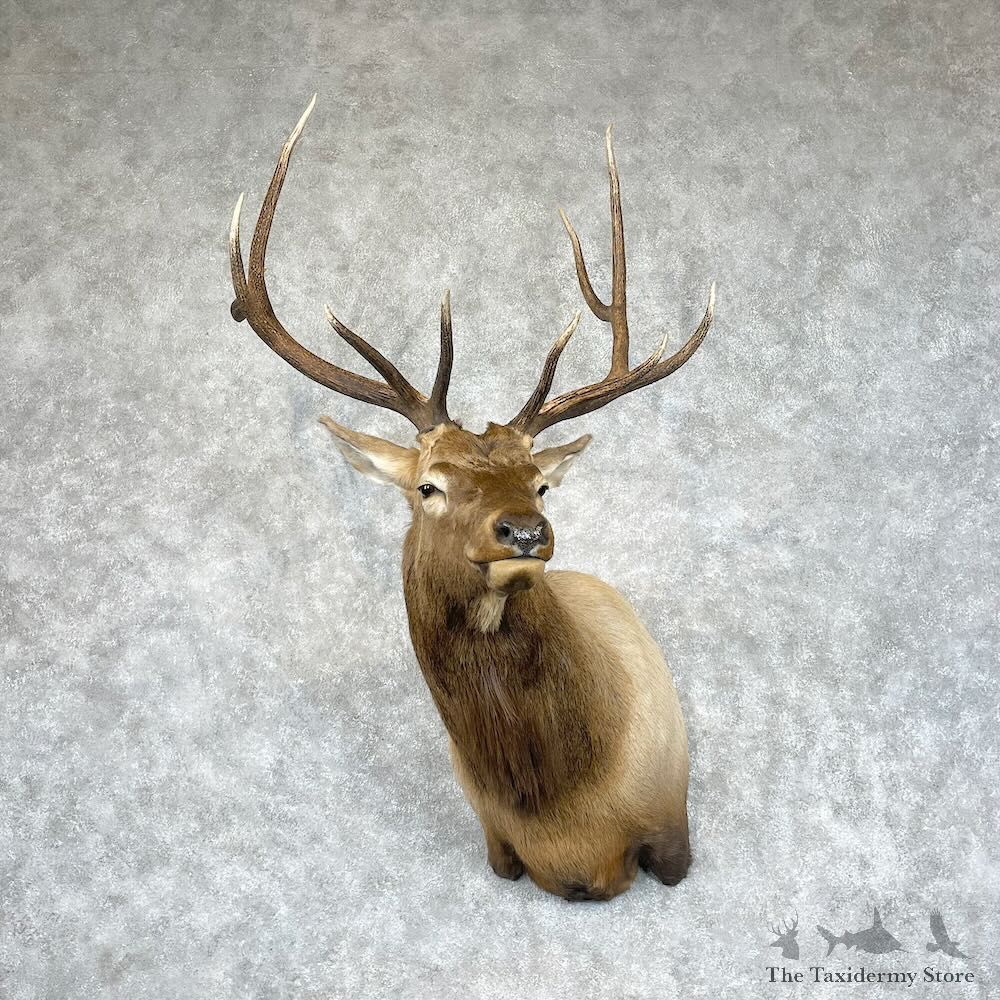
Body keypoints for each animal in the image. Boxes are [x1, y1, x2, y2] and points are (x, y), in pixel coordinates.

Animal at [227, 96, 715, 901]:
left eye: (540, 481)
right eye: (429, 486)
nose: (525, 531)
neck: (566, 814)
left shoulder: (672, 826)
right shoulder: (496, 843)